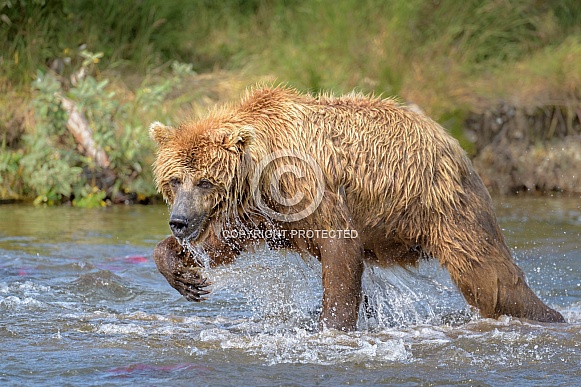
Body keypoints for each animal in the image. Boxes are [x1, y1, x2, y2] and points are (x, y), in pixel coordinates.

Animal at [148, 86, 560, 332]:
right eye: (175, 180)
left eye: (205, 181)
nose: (179, 222)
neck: (260, 173)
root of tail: (453, 142)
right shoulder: (264, 212)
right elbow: (227, 241)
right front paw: (183, 272)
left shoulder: (307, 189)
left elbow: (340, 250)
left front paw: (332, 325)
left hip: (441, 206)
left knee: (491, 279)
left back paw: (547, 316)